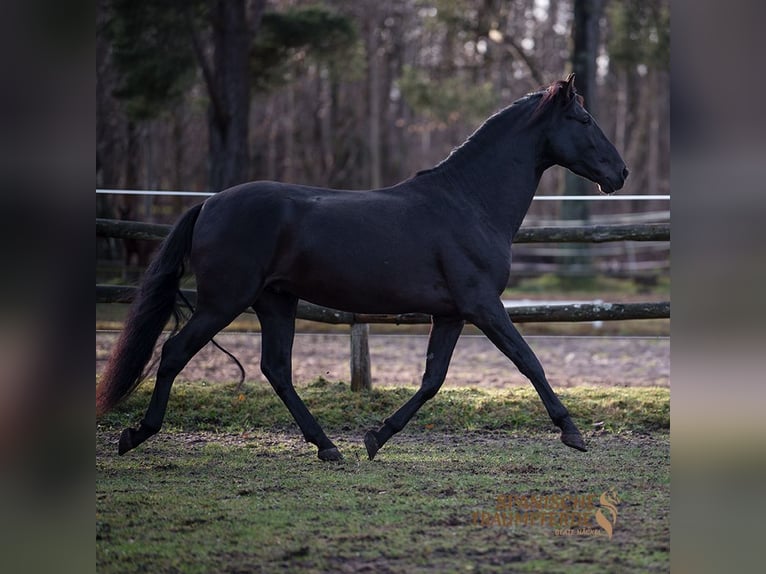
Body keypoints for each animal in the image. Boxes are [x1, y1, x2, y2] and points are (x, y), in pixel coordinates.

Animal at [97, 76, 632, 464]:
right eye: (584, 118)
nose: (620, 173)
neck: (469, 202)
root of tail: (208, 204)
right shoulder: (483, 305)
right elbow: (528, 360)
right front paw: (572, 432)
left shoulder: (452, 314)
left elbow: (433, 379)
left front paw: (377, 437)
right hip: (224, 301)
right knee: (174, 353)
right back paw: (136, 434)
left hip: (275, 300)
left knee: (276, 369)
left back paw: (328, 447)